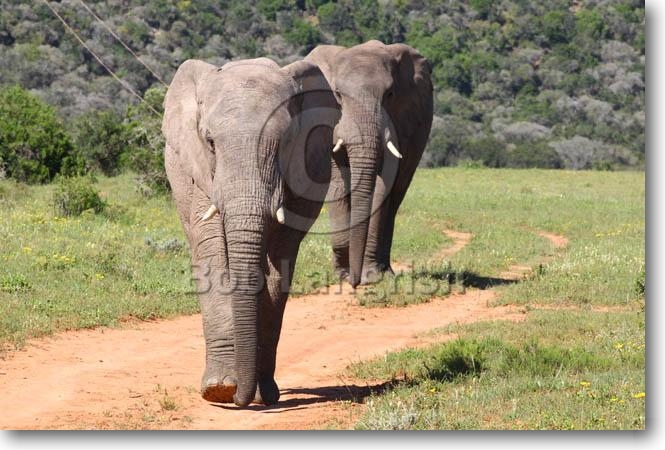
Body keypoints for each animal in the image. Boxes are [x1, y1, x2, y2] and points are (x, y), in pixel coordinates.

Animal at [162, 57, 336, 407]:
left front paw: (261, 394)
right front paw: (219, 389)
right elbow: (214, 254)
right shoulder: (203, 175)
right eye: (210, 142)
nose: (239, 397)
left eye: (284, 142)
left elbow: (277, 266)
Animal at [305, 40, 433, 287]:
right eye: (338, 95)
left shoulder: (400, 122)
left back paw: (386, 272)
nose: (355, 283)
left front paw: (371, 276)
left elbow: (383, 188)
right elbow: (338, 183)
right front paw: (342, 275)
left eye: (390, 94)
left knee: (396, 196)